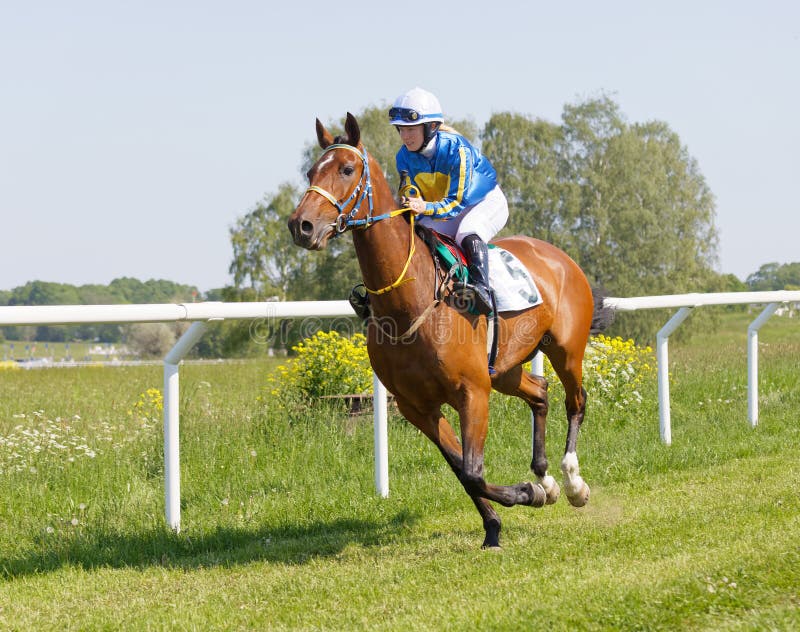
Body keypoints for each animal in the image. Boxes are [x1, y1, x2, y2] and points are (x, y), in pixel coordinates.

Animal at [288, 113, 612, 548]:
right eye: (311, 171)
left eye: (346, 169)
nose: (301, 225)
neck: (409, 305)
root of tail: (559, 256)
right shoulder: (417, 407)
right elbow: (463, 471)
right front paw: (501, 521)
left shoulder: (472, 393)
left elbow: (474, 470)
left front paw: (525, 494)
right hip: (504, 368)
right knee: (540, 394)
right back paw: (546, 478)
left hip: (565, 350)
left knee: (575, 401)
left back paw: (573, 482)